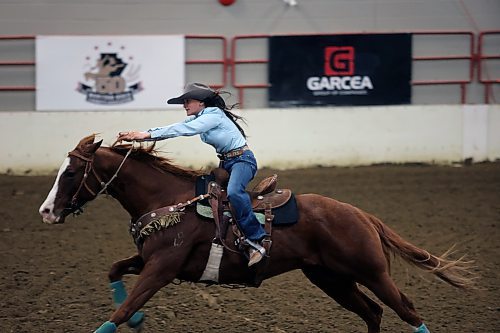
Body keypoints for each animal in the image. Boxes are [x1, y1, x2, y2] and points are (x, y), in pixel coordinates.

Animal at [39, 135, 472, 332]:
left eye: (72, 172)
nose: (46, 211)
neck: (168, 200)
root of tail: (360, 214)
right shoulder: (149, 261)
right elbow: (114, 270)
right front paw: (139, 318)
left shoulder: (161, 269)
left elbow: (120, 312)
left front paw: (131, 316)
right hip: (331, 278)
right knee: (374, 312)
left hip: (371, 272)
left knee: (405, 309)